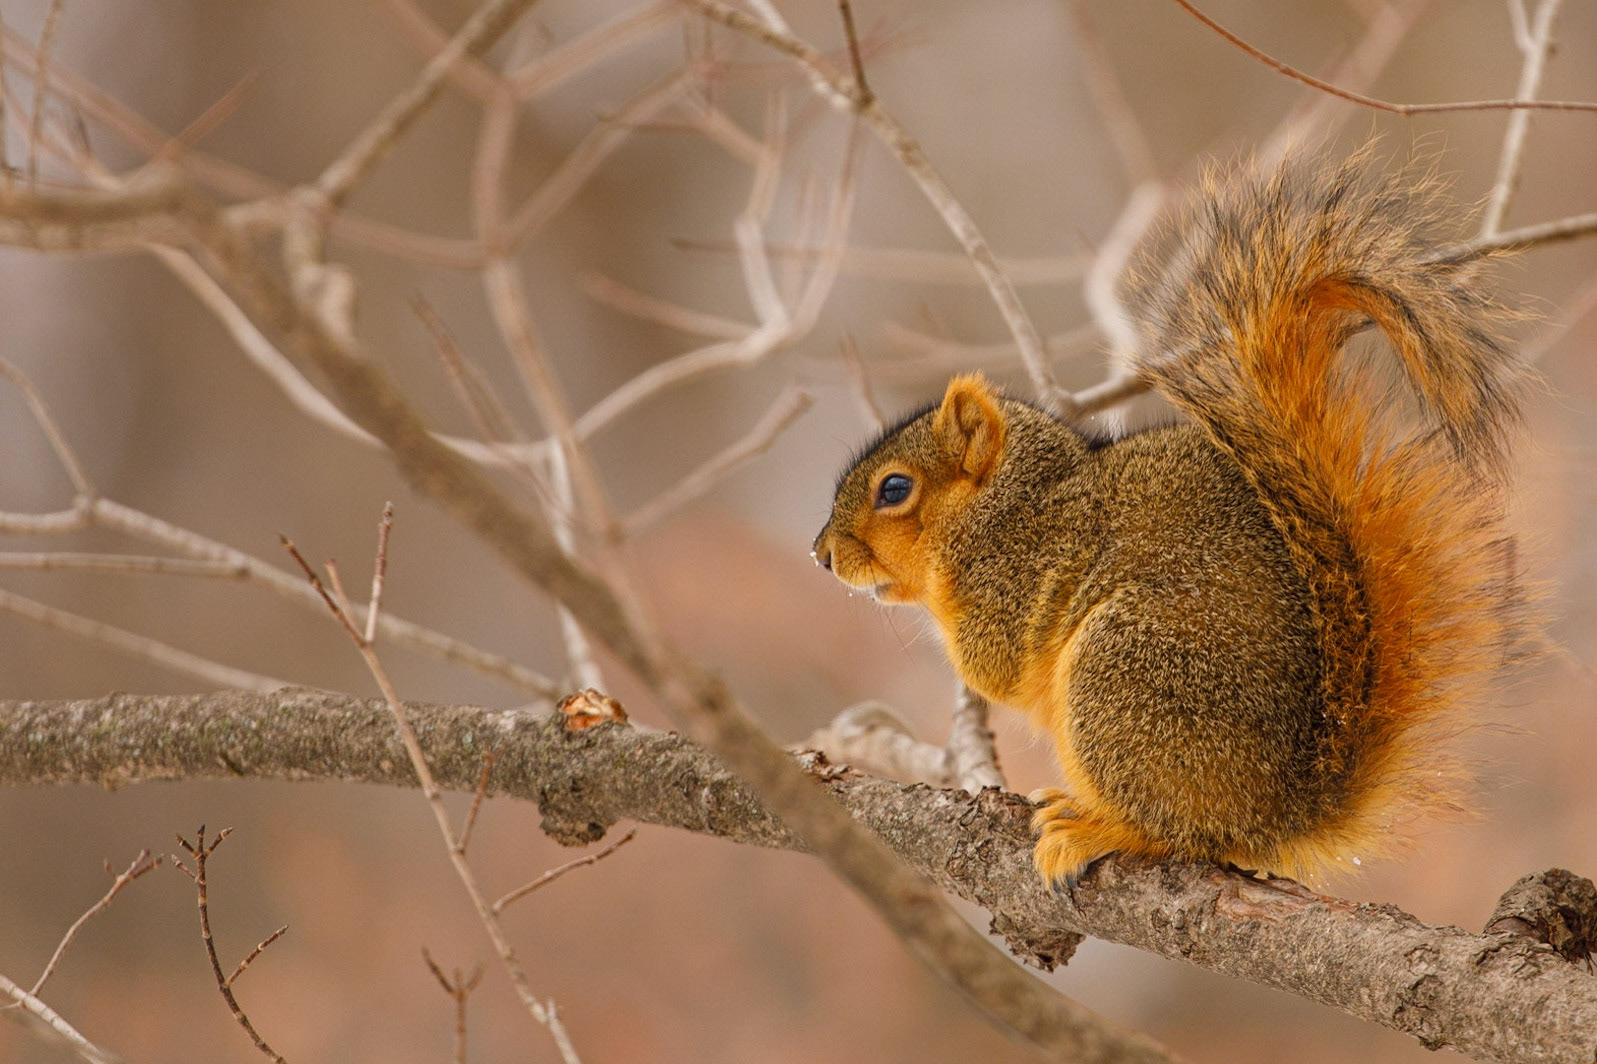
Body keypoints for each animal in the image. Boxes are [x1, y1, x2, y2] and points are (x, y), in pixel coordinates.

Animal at [812, 148, 1529, 889]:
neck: (1010, 502)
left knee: (1178, 832)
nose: (822, 554)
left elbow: (994, 665)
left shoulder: (1016, 579)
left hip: (1123, 677)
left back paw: (1095, 827)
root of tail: (1278, 814)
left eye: (895, 488)